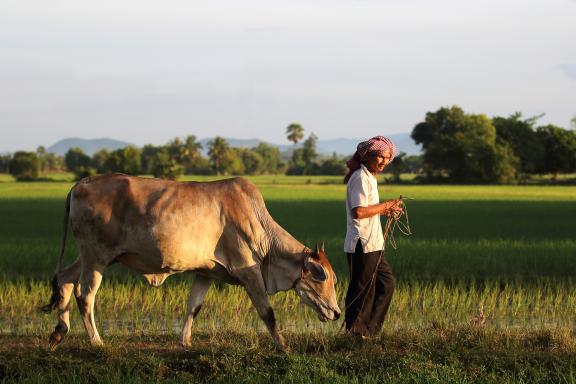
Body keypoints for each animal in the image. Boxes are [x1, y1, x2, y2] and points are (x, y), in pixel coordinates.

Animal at [44, 174, 342, 352]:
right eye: (323, 277)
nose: (338, 313)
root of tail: (81, 183)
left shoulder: (206, 272)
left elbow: (193, 307)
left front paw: (185, 341)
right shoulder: (249, 272)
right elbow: (267, 312)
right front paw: (283, 346)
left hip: (90, 257)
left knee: (64, 279)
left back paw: (59, 332)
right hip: (97, 257)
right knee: (85, 294)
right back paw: (96, 340)